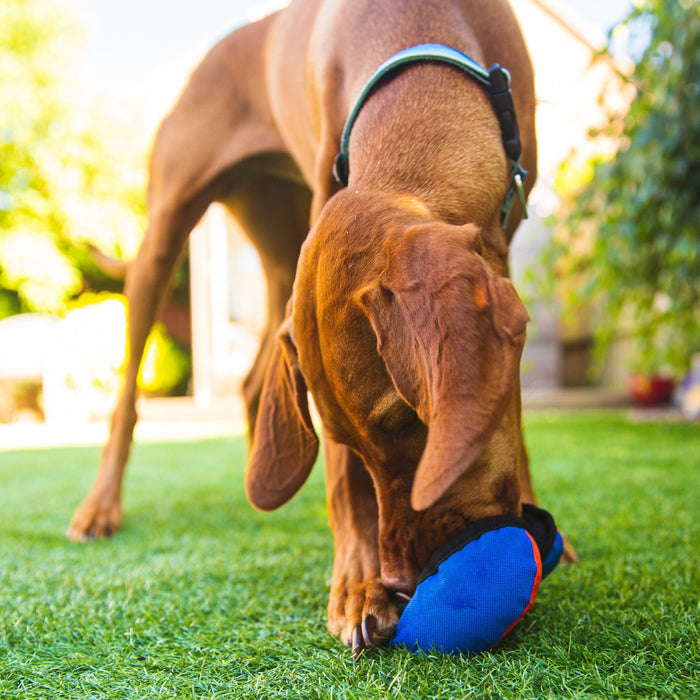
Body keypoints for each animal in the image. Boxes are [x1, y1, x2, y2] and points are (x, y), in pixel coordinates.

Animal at [68, 0, 568, 652]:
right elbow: (342, 483)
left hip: (282, 255)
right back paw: (100, 507)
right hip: (165, 234)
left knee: (253, 380)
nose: (402, 581)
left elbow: (511, 411)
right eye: (347, 440)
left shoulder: (501, 244)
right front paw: (357, 588)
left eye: (415, 420)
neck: (421, 40)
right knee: (128, 395)